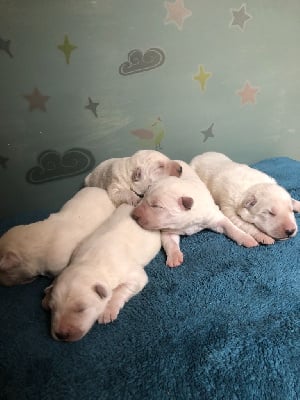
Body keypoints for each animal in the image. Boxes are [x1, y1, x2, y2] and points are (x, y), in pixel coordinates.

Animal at [42, 205, 162, 342]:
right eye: (52, 308)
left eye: (81, 309)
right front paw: (46, 296)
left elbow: (121, 290)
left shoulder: (133, 275)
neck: (90, 262)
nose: (61, 335)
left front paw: (107, 311)